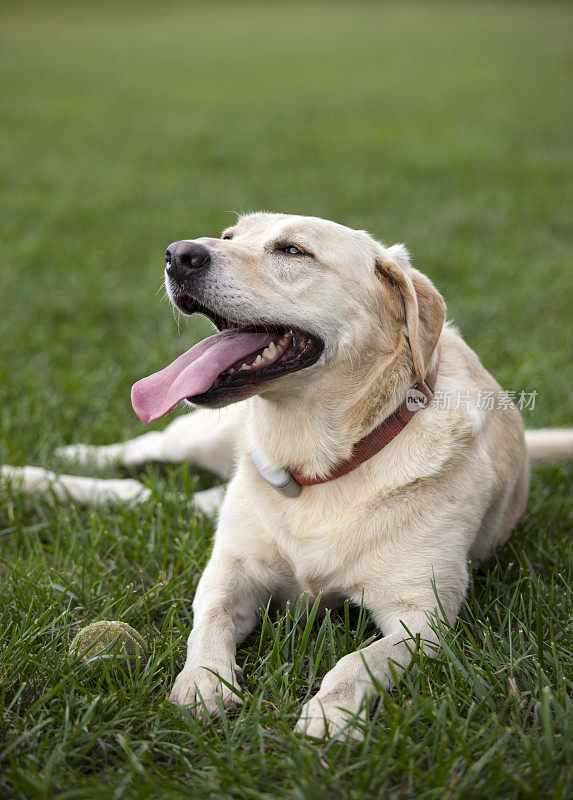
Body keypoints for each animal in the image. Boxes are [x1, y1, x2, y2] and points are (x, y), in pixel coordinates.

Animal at [2, 211, 568, 736]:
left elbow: (358, 660)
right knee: (136, 455)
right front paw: (202, 682)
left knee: (139, 493)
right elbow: (207, 624)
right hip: (198, 436)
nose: (177, 254)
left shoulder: (423, 617)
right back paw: (57, 461)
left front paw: (331, 713)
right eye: (228, 237)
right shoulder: (228, 571)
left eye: (292, 250)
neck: (311, 463)